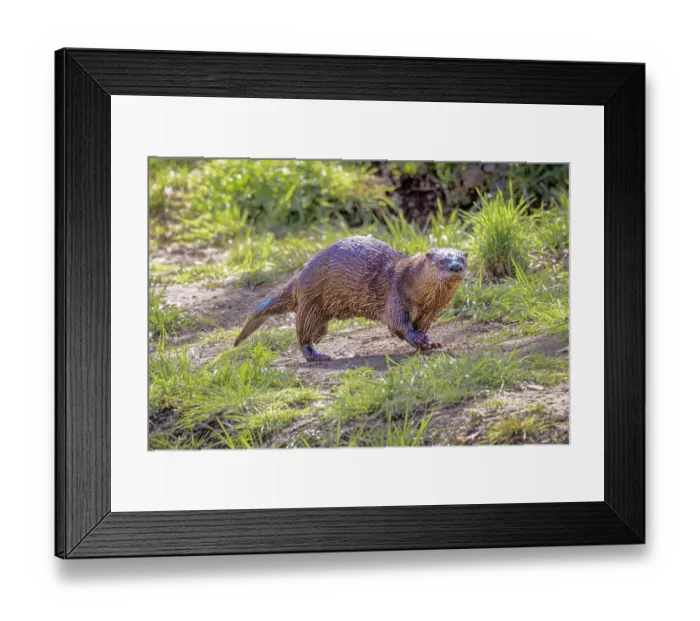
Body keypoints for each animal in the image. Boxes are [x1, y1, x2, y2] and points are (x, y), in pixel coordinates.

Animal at [234, 236, 467, 362]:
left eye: (462, 259)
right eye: (441, 261)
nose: (456, 267)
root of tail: (300, 276)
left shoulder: (429, 312)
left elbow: (420, 326)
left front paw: (429, 342)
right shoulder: (397, 296)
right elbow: (398, 325)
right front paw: (419, 339)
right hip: (311, 304)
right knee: (303, 335)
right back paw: (317, 356)